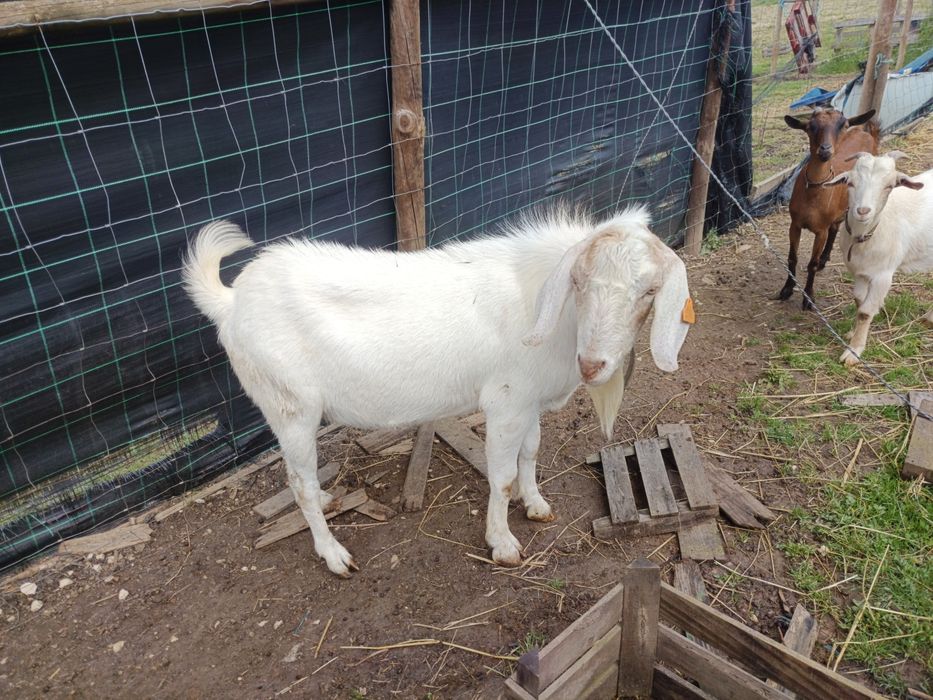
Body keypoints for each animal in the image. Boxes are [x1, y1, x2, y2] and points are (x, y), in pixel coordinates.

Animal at [182, 207, 693, 576]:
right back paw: (334, 554)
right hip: (289, 406)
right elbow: (501, 475)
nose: (592, 364)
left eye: (650, 291)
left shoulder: (528, 402)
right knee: (298, 483)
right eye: (579, 281)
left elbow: (531, 452)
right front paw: (502, 543)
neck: (553, 315)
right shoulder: (506, 401)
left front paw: (536, 504)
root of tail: (231, 302)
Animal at [776, 108, 878, 309]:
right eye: (810, 126)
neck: (813, 196)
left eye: (843, 125)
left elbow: (812, 264)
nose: (825, 150)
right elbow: (792, 258)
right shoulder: (795, 224)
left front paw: (808, 297)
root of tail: (865, 131)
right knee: (835, 227)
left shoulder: (820, 231)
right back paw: (825, 258)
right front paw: (787, 289)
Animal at [823, 152, 932, 366]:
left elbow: (865, 311)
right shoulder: (859, 272)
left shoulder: (883, 275)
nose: (863, 211)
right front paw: (853, 334)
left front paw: (854, 351)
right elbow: (859, 301)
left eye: (889, 186)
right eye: (850, 183)